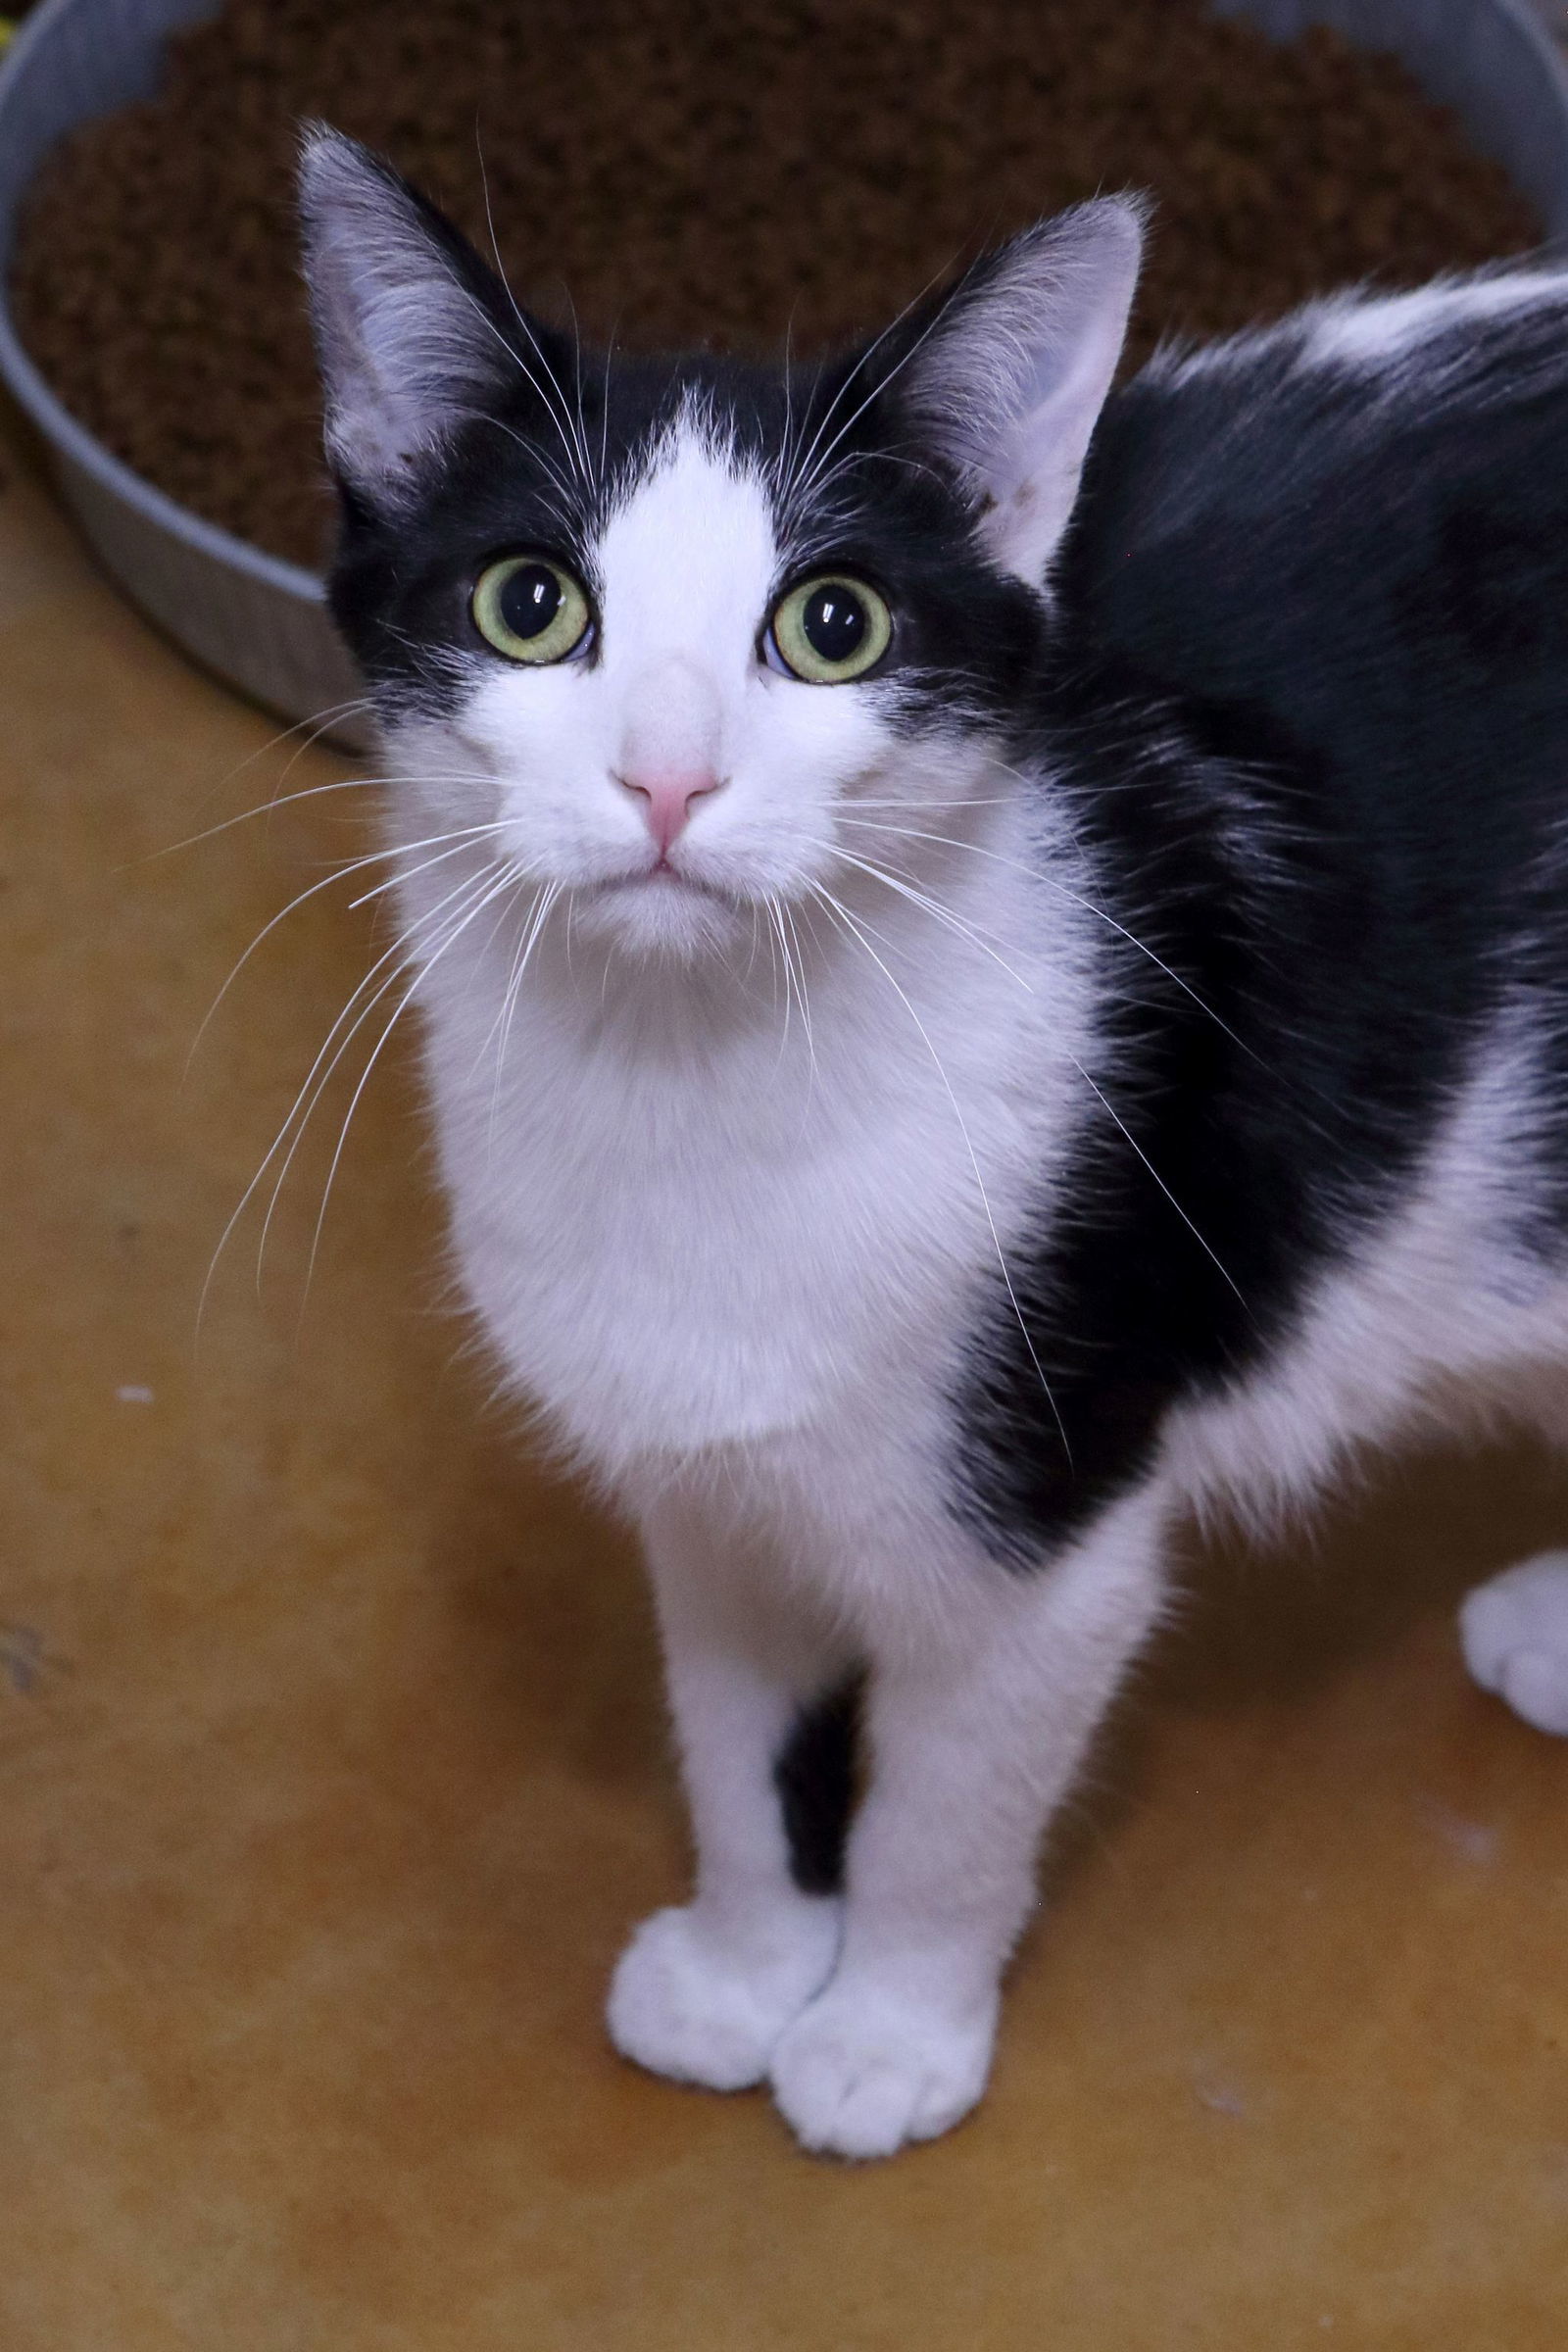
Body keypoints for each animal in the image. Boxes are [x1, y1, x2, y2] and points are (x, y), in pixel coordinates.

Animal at [293, 119, 1568, 2154]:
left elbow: (941, 1813)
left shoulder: (1047, 1527)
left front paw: (889, 2029)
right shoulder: (707, 1475)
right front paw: (747, 1967)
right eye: (527, 604)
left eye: (836, 627)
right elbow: (739, 1741)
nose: (669, 777)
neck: (700, 1087)